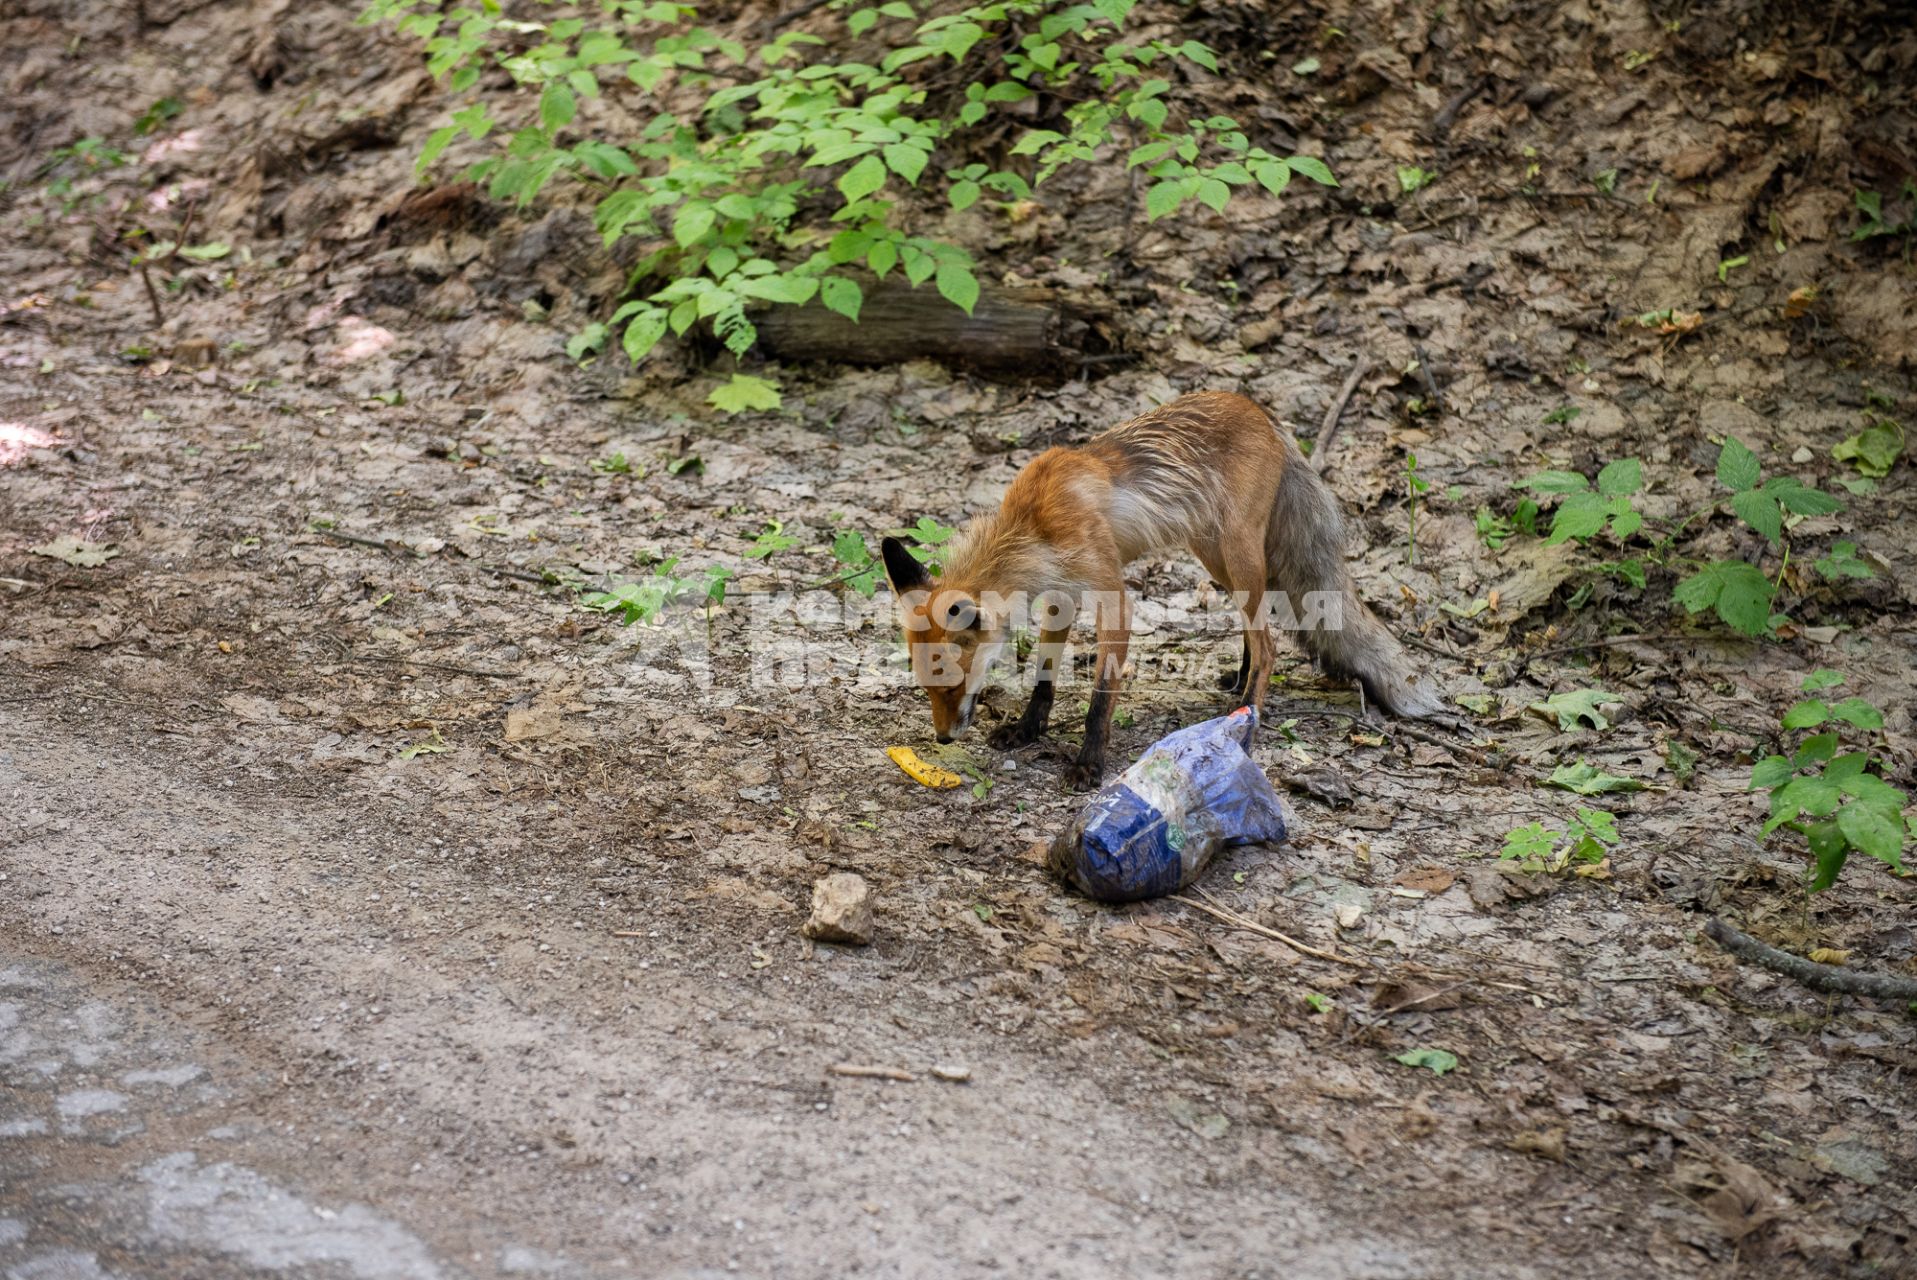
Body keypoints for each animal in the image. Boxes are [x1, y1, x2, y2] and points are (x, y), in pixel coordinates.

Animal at [877, 387, 1441, 789]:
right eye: (927, 689)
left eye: (949, 687)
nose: (941, 738)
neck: (1034, 526)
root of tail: (1263, 412)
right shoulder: (1061, 597)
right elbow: (1044, 675)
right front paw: (1027, 730)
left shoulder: (1111, 595)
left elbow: (1101, 697)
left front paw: (1089, 763)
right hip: (1216, 557)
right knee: (1255, 624)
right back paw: (1238, 681)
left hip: (1236, 551)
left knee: (1271, 644)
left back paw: (1247, 718)